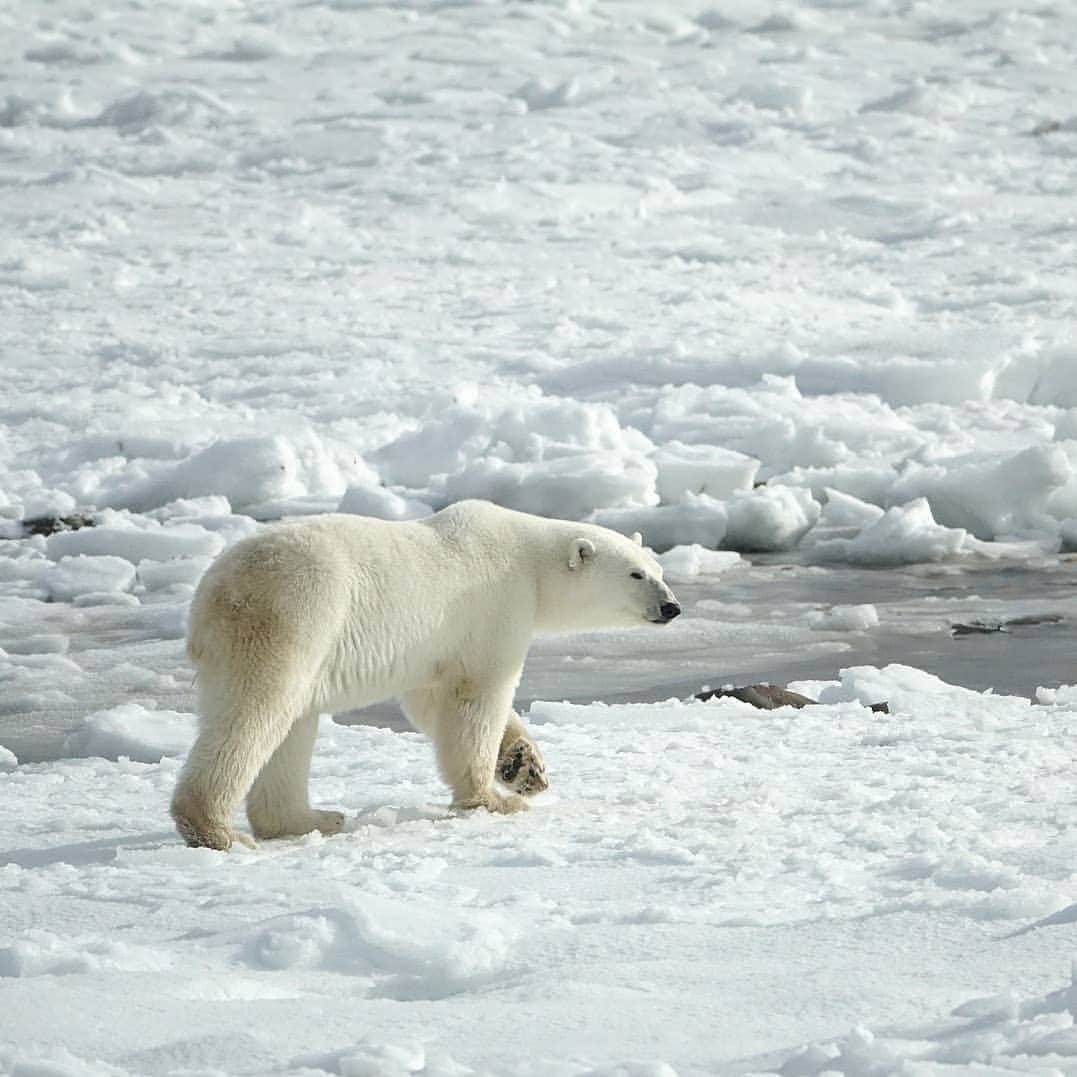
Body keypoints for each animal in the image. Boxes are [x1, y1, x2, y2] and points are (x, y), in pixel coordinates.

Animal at [174, 497, 680, 848]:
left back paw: (312, 818)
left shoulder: (436, 647)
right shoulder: (494, 606)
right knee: (256, 714)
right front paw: (495, 799)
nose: (672, 607)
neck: (530, 561)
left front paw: (525, 767)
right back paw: (217, 831)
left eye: (658, 568)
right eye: (635, 575)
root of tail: (214, 593)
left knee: (292, 727)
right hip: (293, 617)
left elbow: (431, 700)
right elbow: (477, 697)